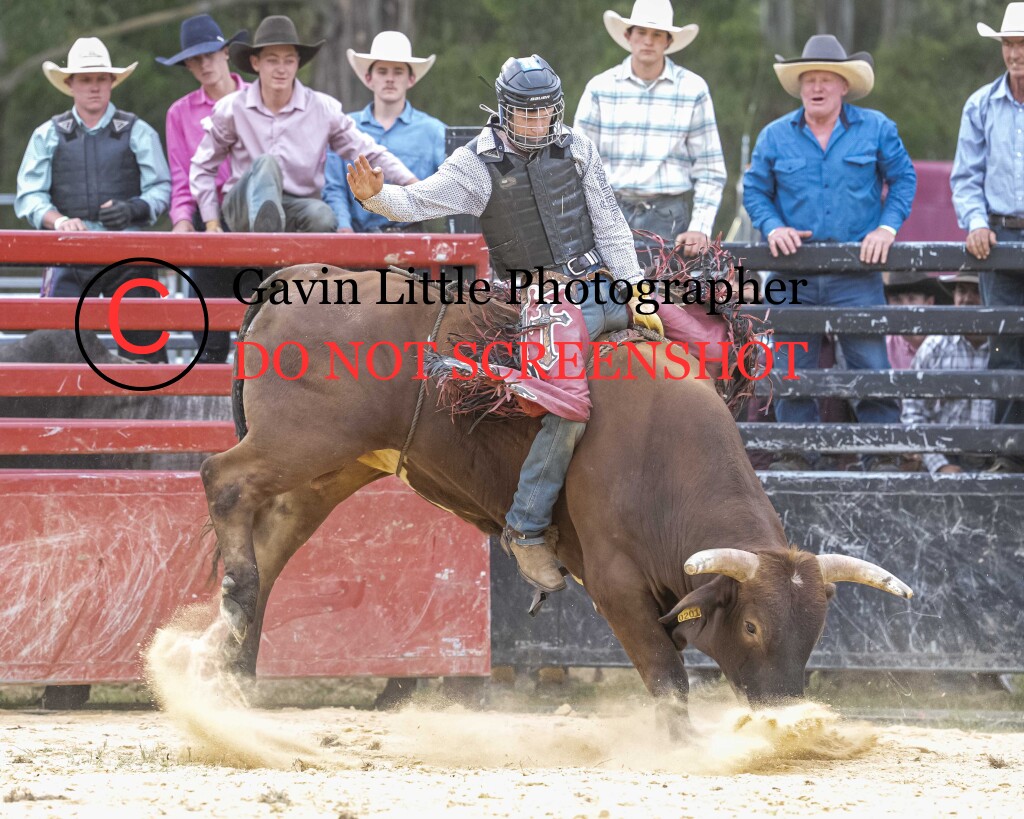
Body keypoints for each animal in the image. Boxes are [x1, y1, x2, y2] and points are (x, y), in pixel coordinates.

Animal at [201, 265, 911, 737]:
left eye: (814, 629)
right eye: (754, 626)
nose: (789, 715)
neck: (659, 449)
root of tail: (296, 275)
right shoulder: (617, 583)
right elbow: (667, 677)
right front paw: (683, 744)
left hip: (328, 468)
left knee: (272, 540)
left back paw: (228, 654)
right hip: (301, 440)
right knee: (221, 479)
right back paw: (234, 597)